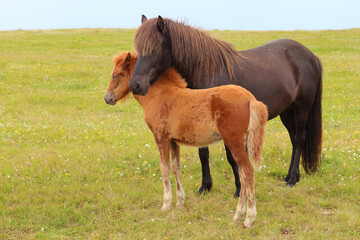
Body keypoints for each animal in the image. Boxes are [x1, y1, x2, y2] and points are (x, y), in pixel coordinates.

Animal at [129, 15, 320, 195]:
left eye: (154, 50)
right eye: (138, 50)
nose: (135, 85)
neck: (208, 73)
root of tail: (311, 56)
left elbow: (232, 156)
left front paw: (239, 188)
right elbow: (203, 154)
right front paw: (205, 187)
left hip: (302, 108)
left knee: (299, 139)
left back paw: (292, 179)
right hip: (287, 112)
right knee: (294, 140)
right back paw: (290, 176)